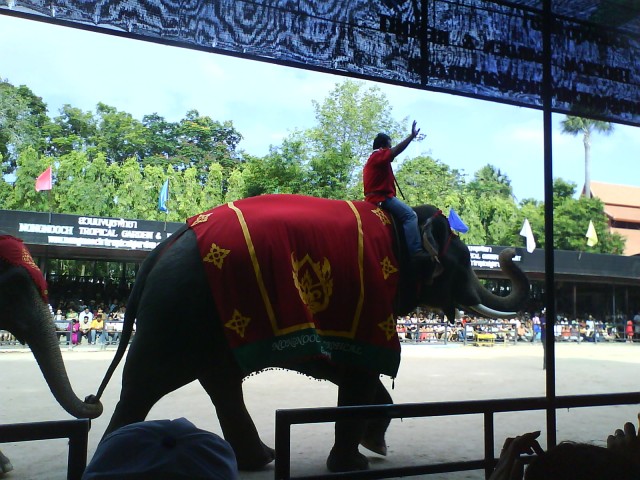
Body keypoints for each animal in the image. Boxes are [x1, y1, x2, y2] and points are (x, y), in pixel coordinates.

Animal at [88, 194, 529, 473]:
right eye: (465, 262)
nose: (512, 252)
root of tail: (163, 247)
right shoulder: (366, 294)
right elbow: (360, 373)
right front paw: (356, 463)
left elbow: (354, 375)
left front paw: (375, 445)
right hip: (178, 311)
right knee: (145, 384)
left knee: (218, 382)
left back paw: (260, 459)